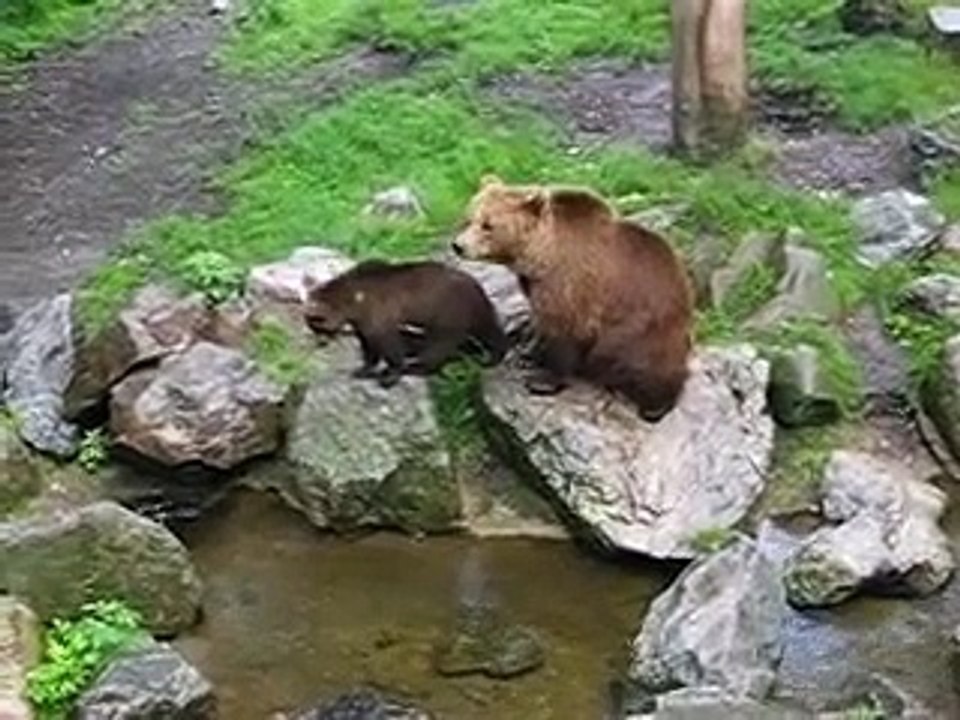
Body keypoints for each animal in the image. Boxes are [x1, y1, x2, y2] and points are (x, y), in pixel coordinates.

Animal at [303, 258, 508, 387]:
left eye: (317, 324)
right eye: (311, 325)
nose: (320, 342)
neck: (353, 302)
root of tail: (477, 285)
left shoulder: (378, 310)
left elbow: (388, 343)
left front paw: (390, 375)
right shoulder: (362, 321)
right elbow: (368, 345)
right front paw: (362, 369)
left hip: (448, 312)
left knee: (438, 346)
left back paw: (416, 366)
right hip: (472, 311)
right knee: (488, 330)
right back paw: (492, 355)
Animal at [451, 175, 694, 421]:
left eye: (488, 225)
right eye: (468, 218)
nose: (458, 246)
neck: (540, 257)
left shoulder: (570, 284)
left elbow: (565, 330)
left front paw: (542, 380)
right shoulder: (535, 285)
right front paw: (528, 353)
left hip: (644, 329)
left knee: (650, 365)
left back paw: (654, 406)